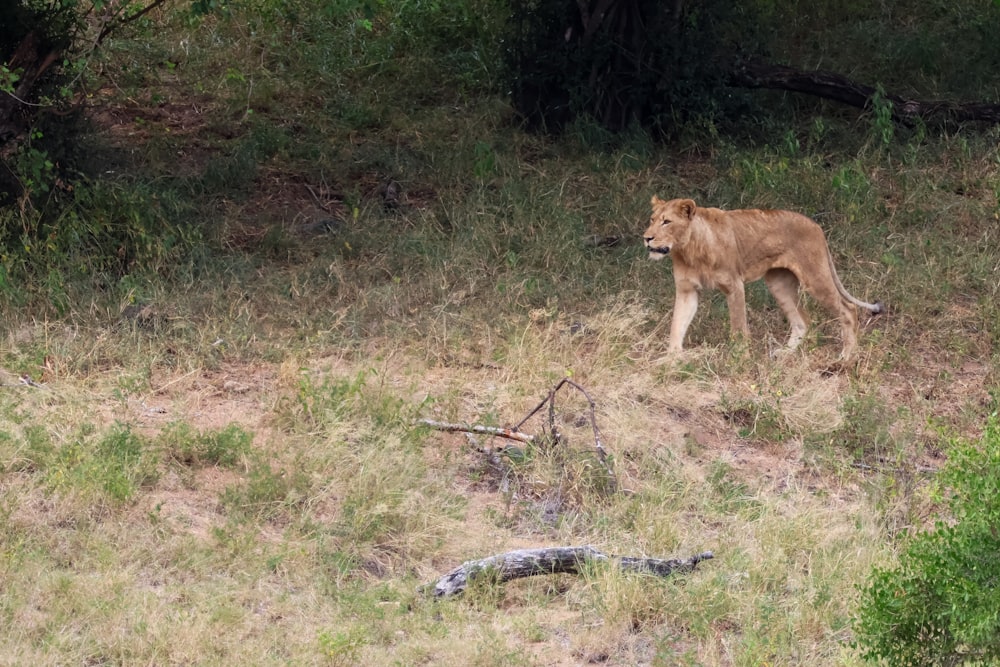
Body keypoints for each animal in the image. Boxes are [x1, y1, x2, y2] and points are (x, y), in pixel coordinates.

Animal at [640, 197, 884, 360]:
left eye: (666, 222)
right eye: (651, 219)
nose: (646, 237)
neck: (688, 250)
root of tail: (816, 226)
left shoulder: (734, 286)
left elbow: (738, 327)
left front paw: (740, 360)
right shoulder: (687, 290)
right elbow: (677, 325)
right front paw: (670, 361)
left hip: (815, 277)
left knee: (848, 309)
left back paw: (847, 356)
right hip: (779, 283)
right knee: (803, 321)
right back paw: (785, 353)